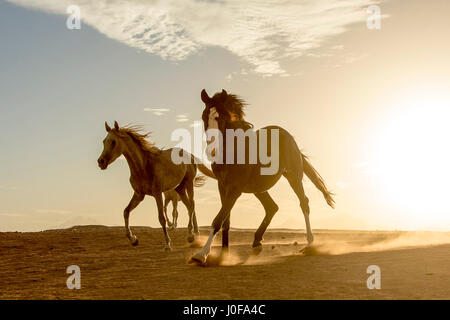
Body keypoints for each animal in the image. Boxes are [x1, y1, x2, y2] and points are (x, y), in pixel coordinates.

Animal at [96, 120, 214, 250]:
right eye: (104, 141)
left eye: (113, 142)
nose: (101, 162)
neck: (143, 166)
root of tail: (190, 155)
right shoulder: (139, 195)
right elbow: (126, 211)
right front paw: (133, 239)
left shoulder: (157, 194)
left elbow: (161, 218)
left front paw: (167, 244)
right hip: (180, 189)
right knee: (189, 206)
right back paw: (193, 234)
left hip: (188, 183)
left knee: (192, 206)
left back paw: (192, 235)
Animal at [190, 89, 334, 262]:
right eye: (204, 116)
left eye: (222, 117)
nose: (212, 151)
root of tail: (289, 137)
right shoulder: (222, 186)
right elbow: (226, 220)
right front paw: (224, 255)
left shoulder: (235, 189)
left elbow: (218, 219)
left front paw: (201, 255)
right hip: (258, 188)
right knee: (272, 207)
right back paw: (257, 242)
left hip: (293, 178)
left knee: (303, 203)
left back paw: (310, 242)